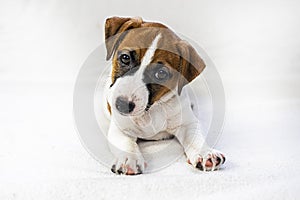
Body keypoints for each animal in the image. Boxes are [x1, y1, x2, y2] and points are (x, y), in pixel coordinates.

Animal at [103, 16, 225, 174]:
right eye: (125, 58)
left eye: (161, 74)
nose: (122, 105)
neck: (151, 110)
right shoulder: (120, 128)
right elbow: (126, 143)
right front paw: (129, 159)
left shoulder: (188, 123)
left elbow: (196, 138)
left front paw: (206, 153)